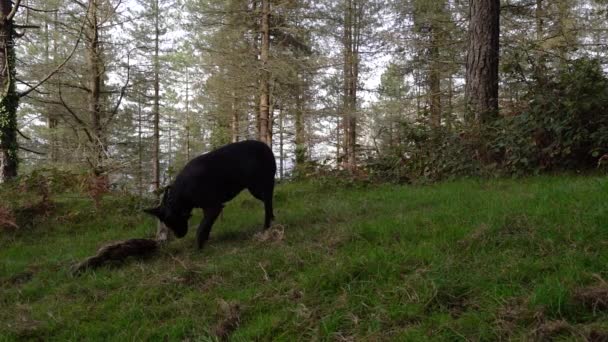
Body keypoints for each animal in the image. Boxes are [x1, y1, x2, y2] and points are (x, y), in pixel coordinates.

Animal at [144, 140, 276, 250]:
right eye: (167, 224)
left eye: (174, 220)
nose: (178, 236)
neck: (184, 191)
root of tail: (267, 148)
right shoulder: (208, 209)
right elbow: (206, 226)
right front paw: (205, 240)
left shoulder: (214, 207)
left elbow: (201, 228)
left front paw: (199, 247)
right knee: (269, 203)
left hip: (258, 187)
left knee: (268, 203)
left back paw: (266, 227)